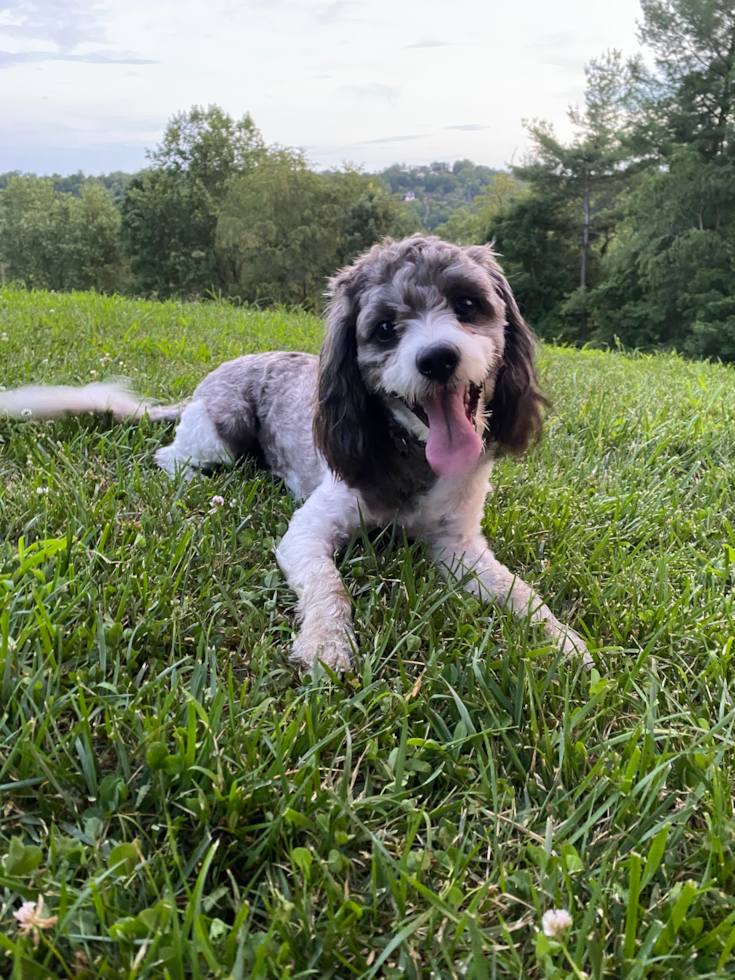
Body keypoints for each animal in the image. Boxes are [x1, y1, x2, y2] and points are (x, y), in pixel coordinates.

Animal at [0, 234, 588, 668]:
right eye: (385, 329)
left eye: (468, 304)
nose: (438, 358)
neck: (411, 454)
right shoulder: (309, 531)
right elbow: (330, 586)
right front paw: (326, 644)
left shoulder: (458, 547)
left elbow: (519, 592)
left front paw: (565, 642)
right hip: (222, 432)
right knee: (170, 457)